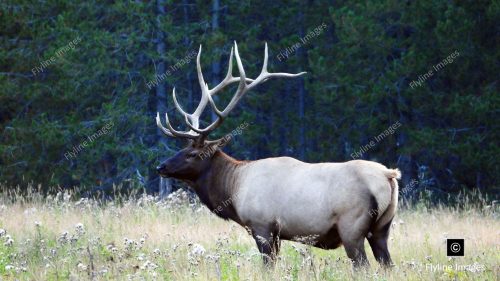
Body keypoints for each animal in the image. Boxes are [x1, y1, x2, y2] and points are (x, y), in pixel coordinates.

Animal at [154, 41, 400, 266]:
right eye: (182, 149)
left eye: (193, 154)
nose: (161, 167)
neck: (234, 188)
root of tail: (389, 175)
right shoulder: (277, 233)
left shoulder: (262, 225)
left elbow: (268, 265)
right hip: (382, 228)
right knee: (387, 264)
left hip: (351, 226)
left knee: (363, 266)